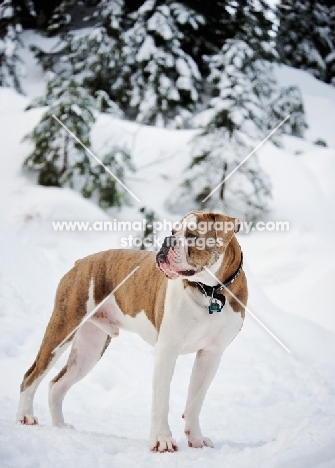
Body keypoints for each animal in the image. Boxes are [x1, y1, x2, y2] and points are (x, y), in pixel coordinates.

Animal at [16, 210, 247, 452]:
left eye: (192, 235)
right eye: (173, 231)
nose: (167, 241)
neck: (210, 290)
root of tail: (80, 263)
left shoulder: (211, 354)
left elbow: (196, 400)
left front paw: (197, 440)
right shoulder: (167, 350)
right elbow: (161, 400)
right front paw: (162, 440)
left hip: (90, 349)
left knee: (56, 385)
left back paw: (60, 426)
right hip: (62, 328)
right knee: (32, 375)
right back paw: (25, 416)